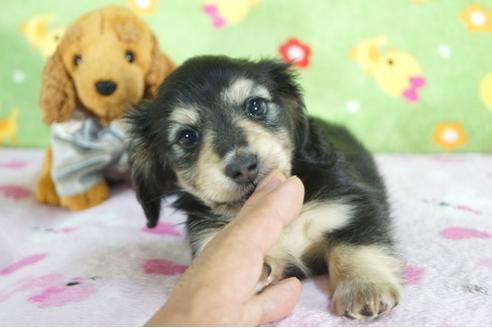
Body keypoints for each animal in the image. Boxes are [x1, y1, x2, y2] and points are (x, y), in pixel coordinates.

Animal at [126, 55, 400, 320]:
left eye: (255, 106)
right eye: (187, 137)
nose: (243, 167)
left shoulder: (350, 207)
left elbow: (355, 247)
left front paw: (364, 287)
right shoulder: (205, 232)